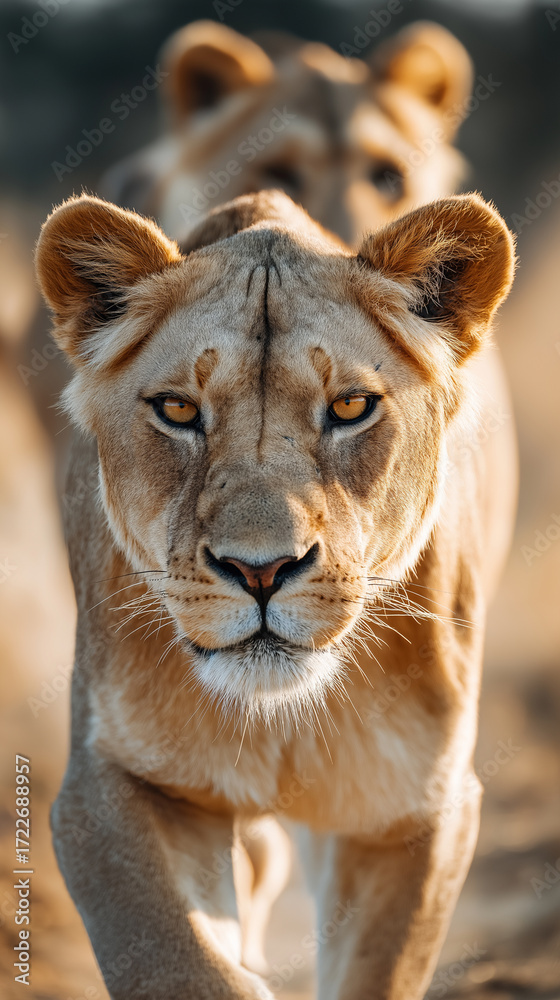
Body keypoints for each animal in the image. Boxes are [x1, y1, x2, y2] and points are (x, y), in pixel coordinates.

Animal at [35, 187, 516, 999]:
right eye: (178, 410)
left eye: (351, 407)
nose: (260, 570)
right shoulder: (109, 785)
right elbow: (177, 962)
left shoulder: (414, 812)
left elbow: (374, 973)